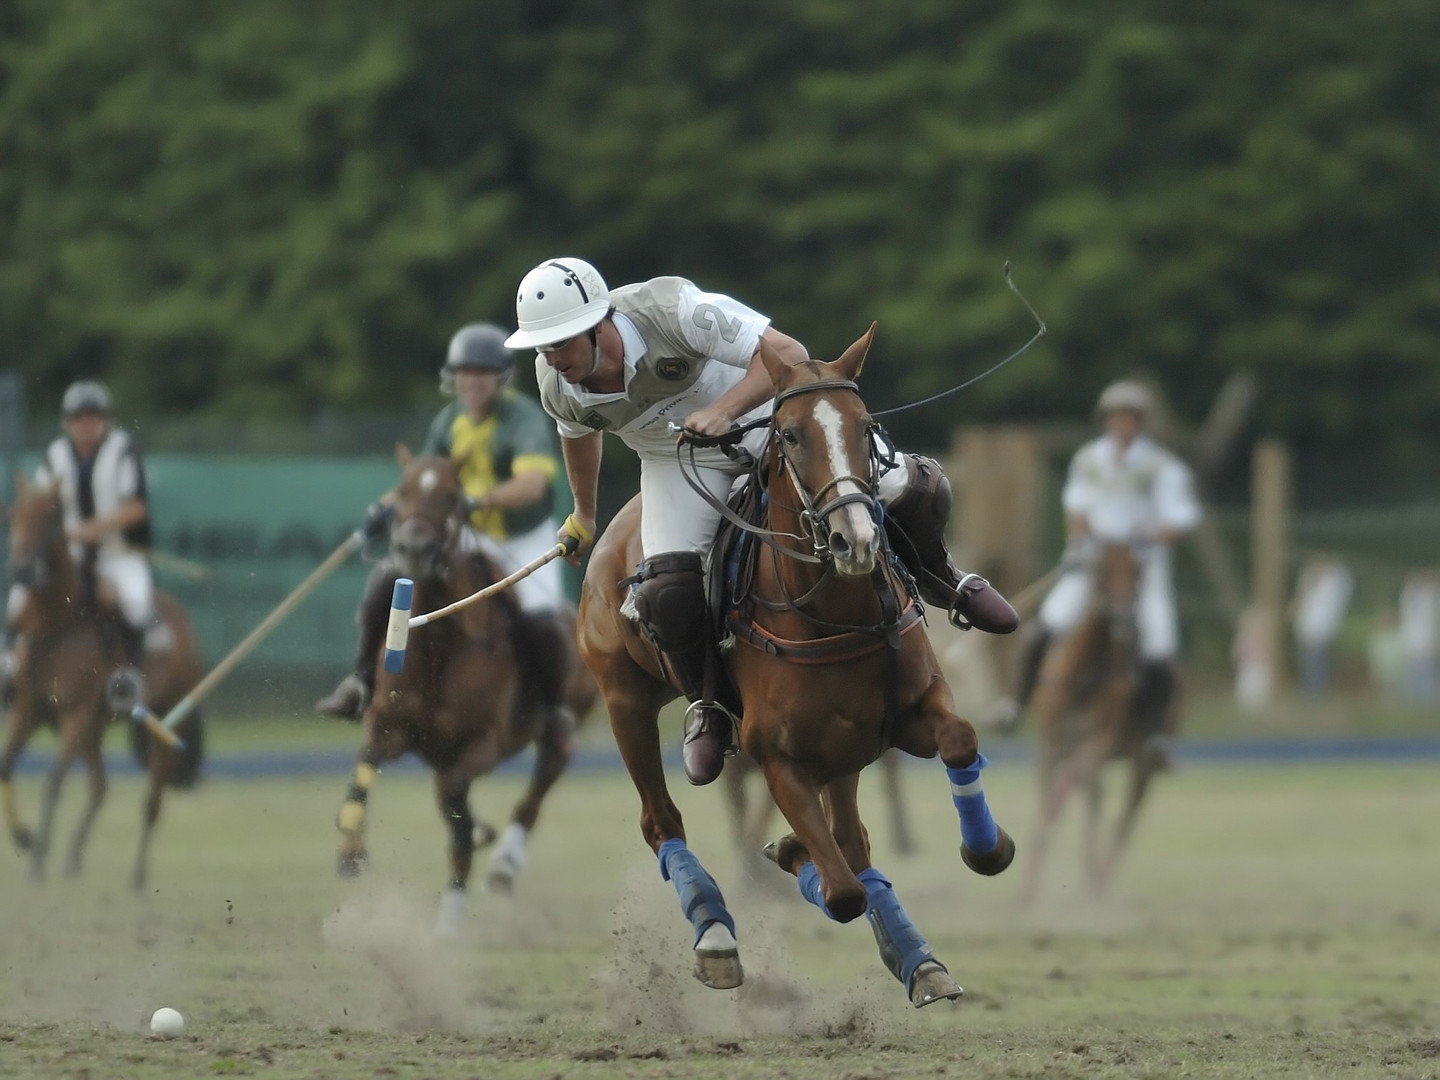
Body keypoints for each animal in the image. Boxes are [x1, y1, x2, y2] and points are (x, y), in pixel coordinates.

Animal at [1, 472, 205, 887]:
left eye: (52, 517)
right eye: (13, 515)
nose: (22, 571)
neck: (55, 623)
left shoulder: (74, 713)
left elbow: (53, 781)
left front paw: (36, 859)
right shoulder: (30, 709)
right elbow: (7, 765)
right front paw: (26, 839)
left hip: (160, 720)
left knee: (152, 800)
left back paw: (138, 877)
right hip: (95, 728)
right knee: (99, 787)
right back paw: (73, 859)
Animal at [335, 449, 596, 938]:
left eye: (453, 497)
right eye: (402, 491)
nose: (412, 549)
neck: (439, 642)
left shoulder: (484, 741)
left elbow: (455, 804)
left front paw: (451, 914)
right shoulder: (388, 725)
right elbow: (363, 766)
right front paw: (350, 851)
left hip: (561, 724)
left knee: (538, 782)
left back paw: (503, 863)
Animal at [573, 325, 1013, 1013]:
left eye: (866, 426)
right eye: (790, 436)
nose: (855, 541)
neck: (834, 614)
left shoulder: (904, 718)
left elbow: (961, 741)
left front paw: (988, 847)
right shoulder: (778, 757)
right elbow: (841, 892)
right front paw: (789, 854)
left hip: (844, 749)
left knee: (854, 841)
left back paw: (919, 960)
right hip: (625, 702)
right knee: (661, 819)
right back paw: (717, 935)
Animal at [1013, 544, 1169, 898]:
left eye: (1137, 573)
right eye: (1102, 571)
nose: (1126, 621)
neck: (1086, 673)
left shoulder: (1097, 740)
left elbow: (1070, 790)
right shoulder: (1049, 745)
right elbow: (1052, 796)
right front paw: (1028, 886)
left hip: (1142, 761)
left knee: (1126, 813)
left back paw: (1099, 879)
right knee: (1093, 799)